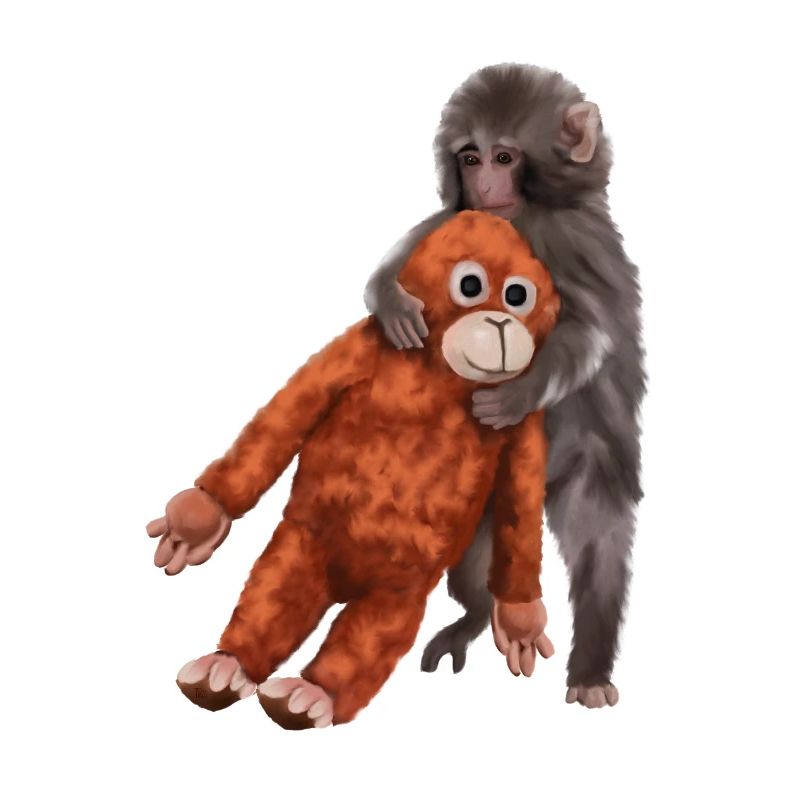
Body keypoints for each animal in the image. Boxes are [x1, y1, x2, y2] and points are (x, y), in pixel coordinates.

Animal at [147, 211, 561, 728]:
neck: (443, 377)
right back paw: (225, 669)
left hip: (398, 591)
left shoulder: (526, 420)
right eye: (471, 285)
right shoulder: (357, 347)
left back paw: (310, 695)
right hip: (301, 543)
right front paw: (198, 518)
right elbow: (283, 418)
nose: (502, 322)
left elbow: (522, 506)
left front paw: (520, 618)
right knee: (271, 595)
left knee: (372, 633)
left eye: (518, 295)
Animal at [364, 64, 645, 708]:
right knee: (479, 555)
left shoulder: (570, 237)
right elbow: (392, 267)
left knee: (598, 541)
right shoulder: (456, 219)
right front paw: (393, 301)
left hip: (589, 466)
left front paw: (517, 394)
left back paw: (591, 667)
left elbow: (587, 331)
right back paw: (476, 615)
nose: (484, 184)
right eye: (469, 157)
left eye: (503, 156)